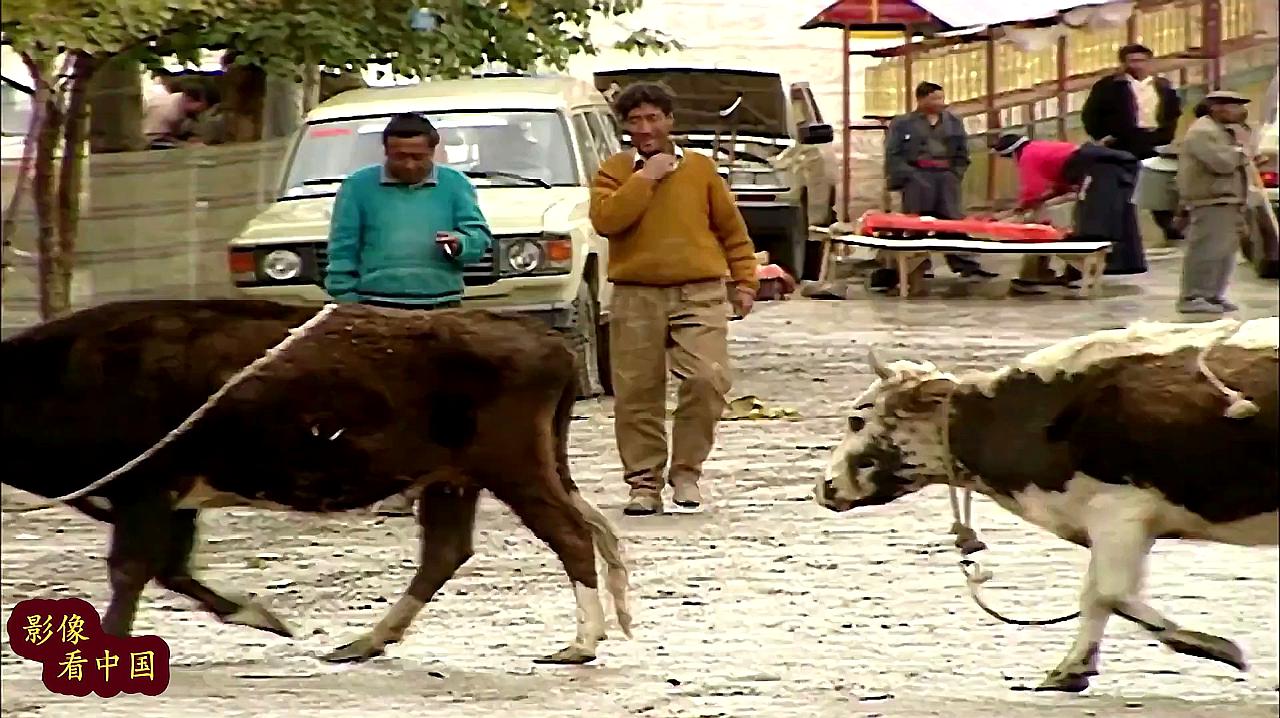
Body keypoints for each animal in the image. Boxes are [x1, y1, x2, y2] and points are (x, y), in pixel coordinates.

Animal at [0, 295, 629, 660]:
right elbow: (171, 571)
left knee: (571, 537)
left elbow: (133, 571)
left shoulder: (146, 491)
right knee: (447, 552)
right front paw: (265, 618)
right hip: (455, 478)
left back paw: (579, 643)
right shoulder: (171, 501)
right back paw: (364, 642)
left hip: (514, 468)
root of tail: (548, 342)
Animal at [814, 316, 1274, 691]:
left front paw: (1213, 646)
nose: (824, 487)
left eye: (856, 419)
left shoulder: (1119, 510)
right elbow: (1096, 595)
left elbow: (1110, 593)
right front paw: (1071, 670)